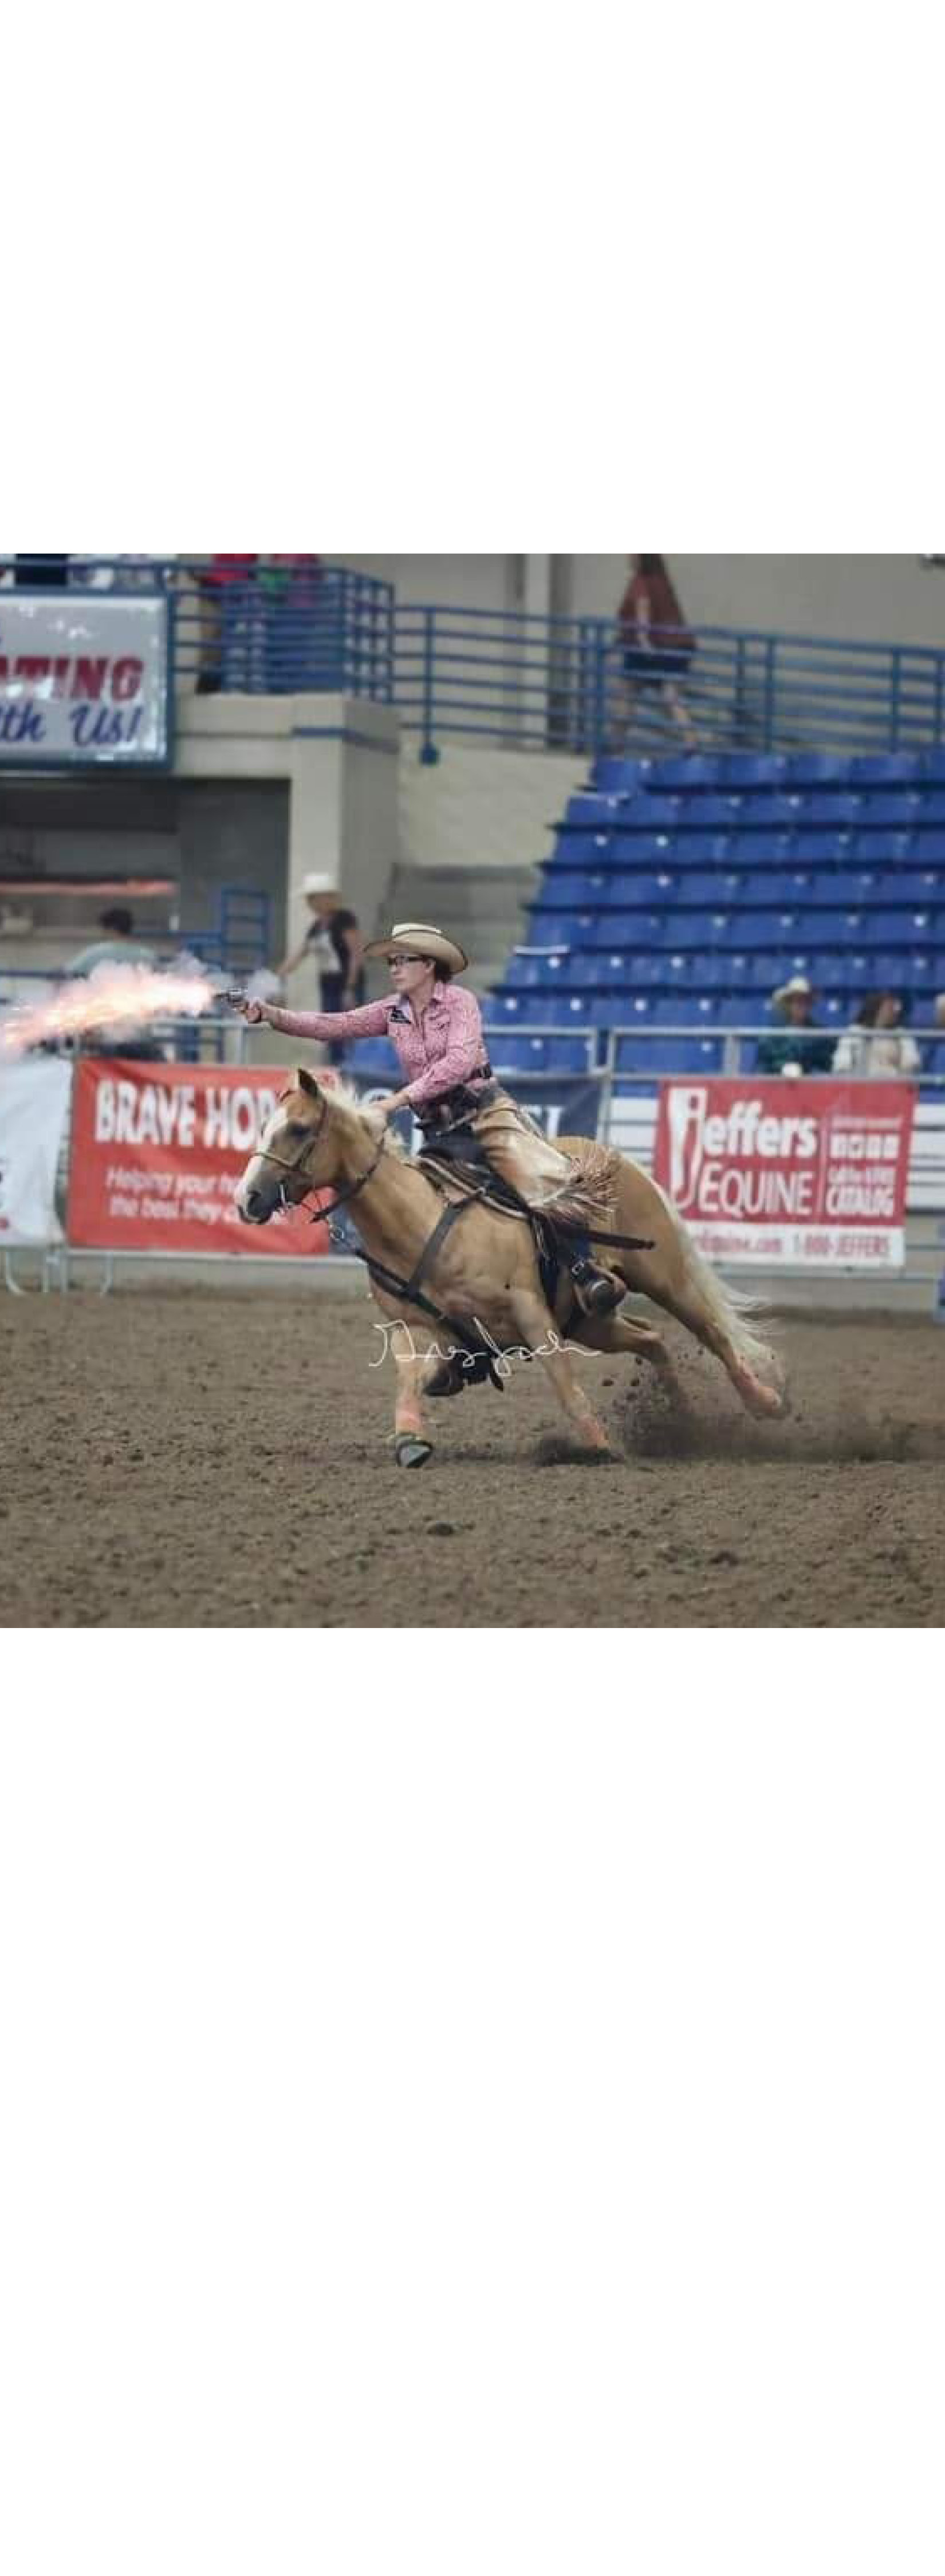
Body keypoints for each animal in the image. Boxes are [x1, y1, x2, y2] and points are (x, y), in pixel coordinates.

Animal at [238, 1072, 793, 1473]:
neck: (420, 1222)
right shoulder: (408, 1326)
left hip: (663, 1277)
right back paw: (682, 1419)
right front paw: (412, 1436)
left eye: (298, 1129)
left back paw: (766, 1402)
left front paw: (598, 1445)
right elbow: (412, 1378)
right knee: (652, 1338)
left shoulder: (530, 1311)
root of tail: (620, 1159)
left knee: (712, 1332)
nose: (248, 1199)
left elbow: (564, 1383)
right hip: (589, 1320)